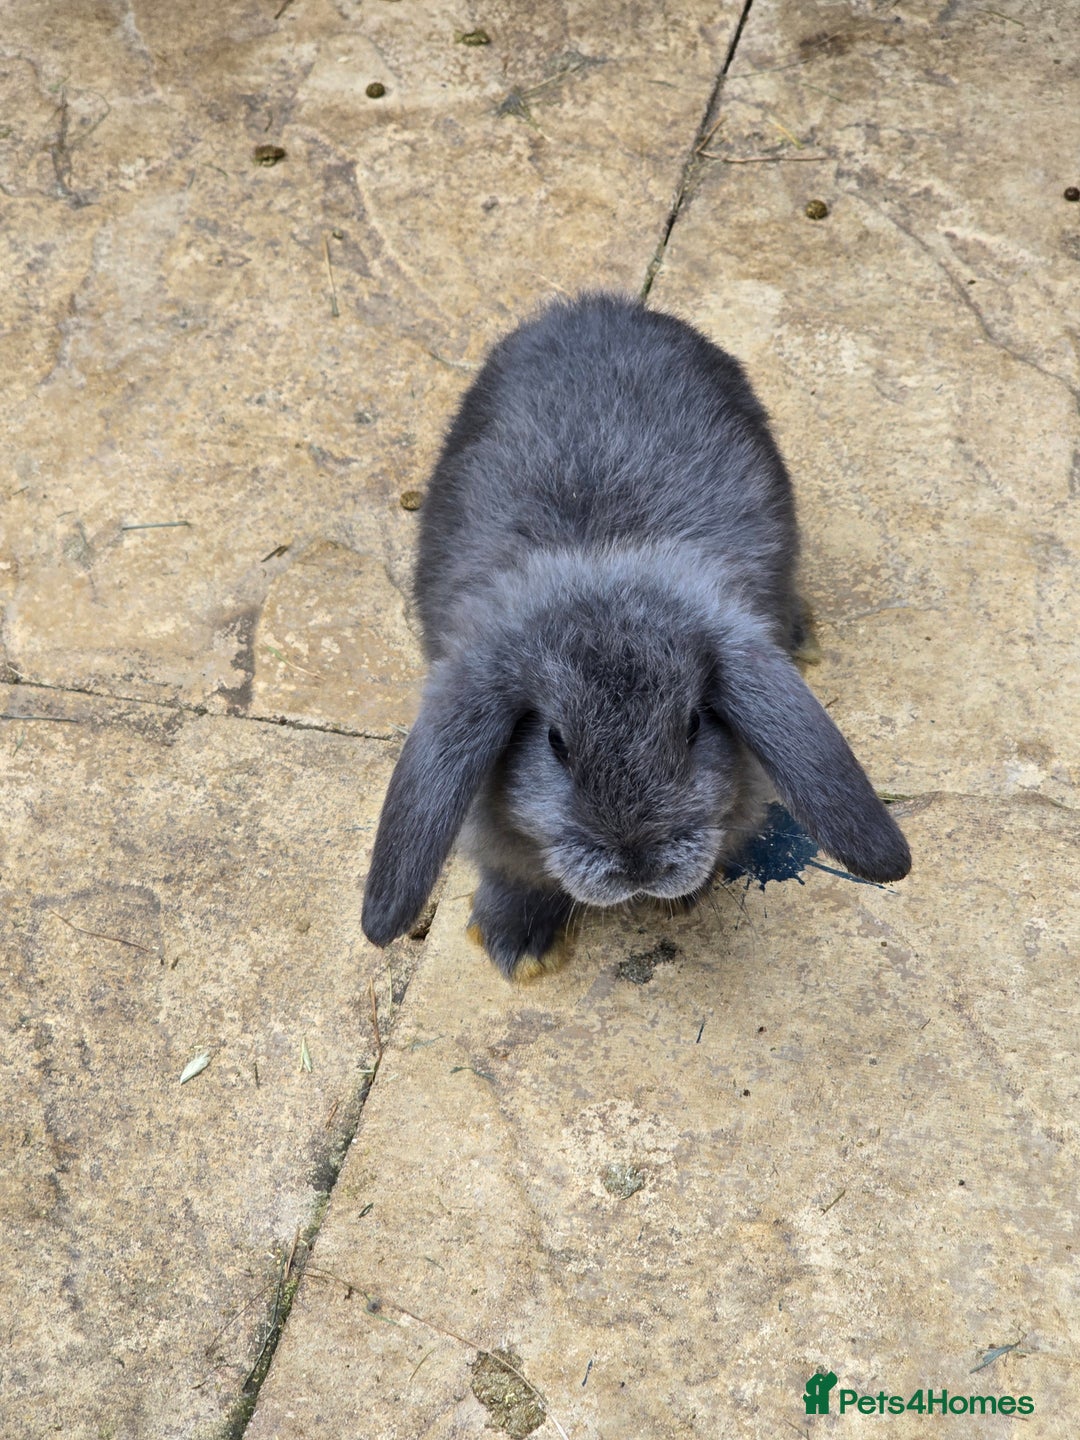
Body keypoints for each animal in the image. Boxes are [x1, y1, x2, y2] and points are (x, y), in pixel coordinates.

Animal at [361, 292, 910, 979]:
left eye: (693, 725)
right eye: (556, 743)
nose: (639, 865)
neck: (602, 570)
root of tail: (599, 305)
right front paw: (515, 943)